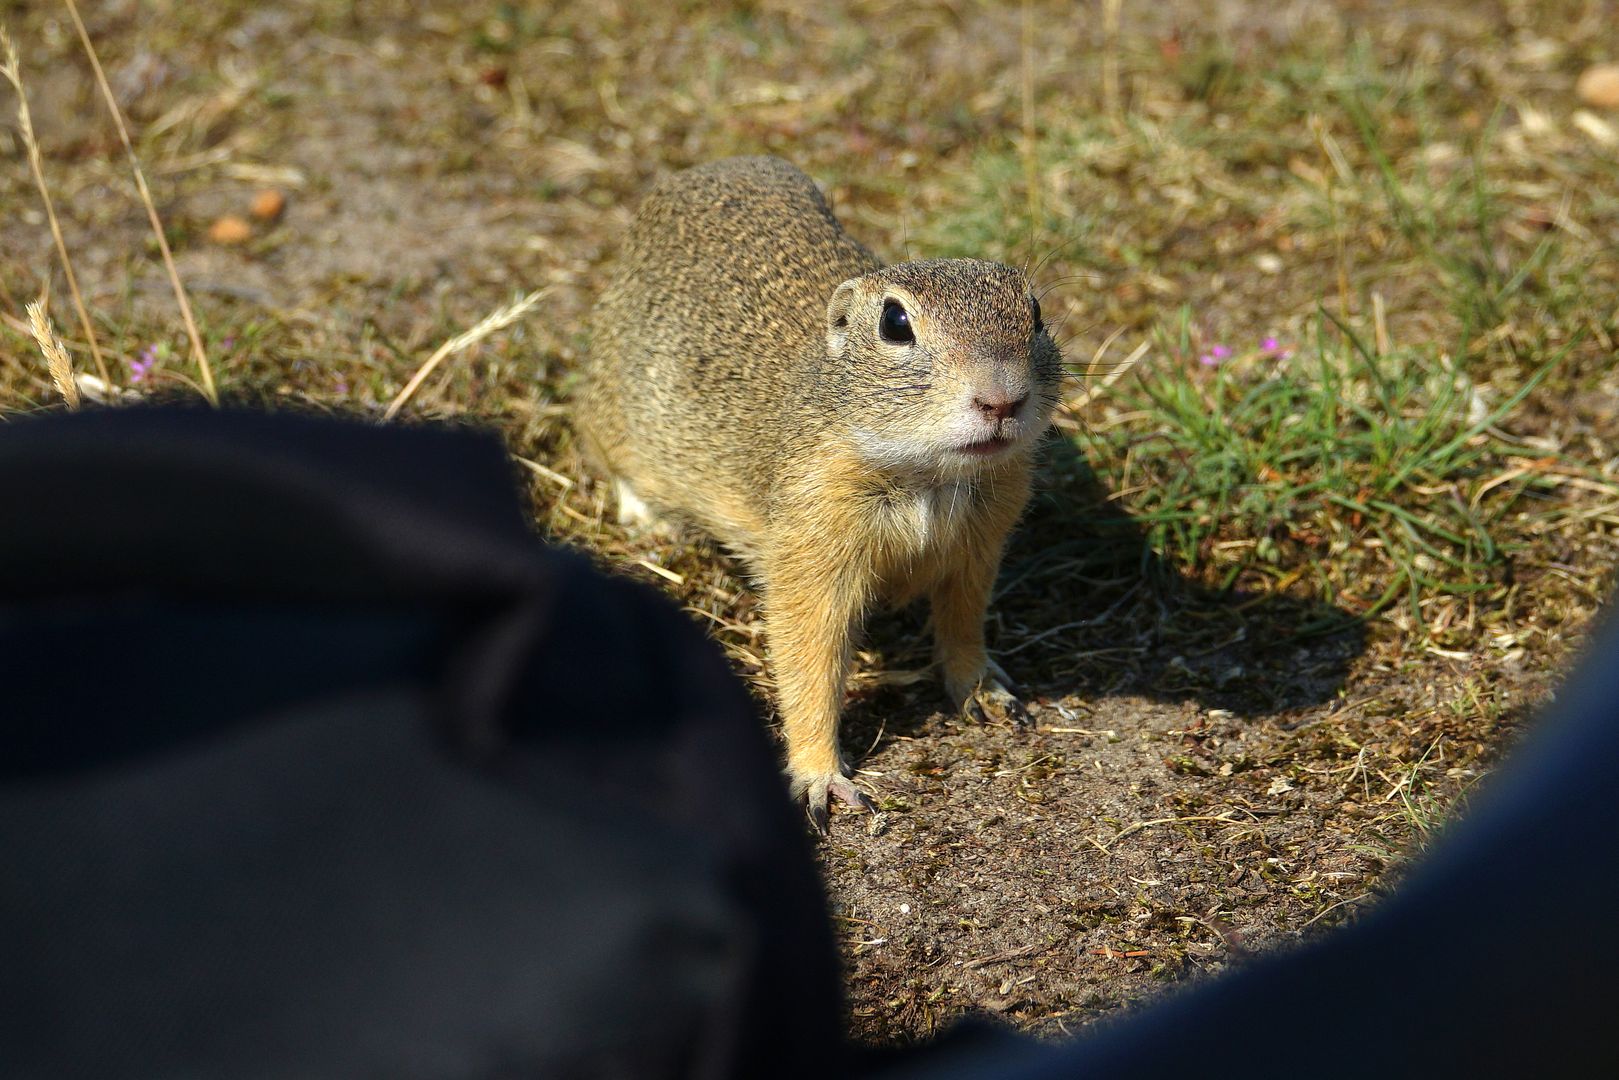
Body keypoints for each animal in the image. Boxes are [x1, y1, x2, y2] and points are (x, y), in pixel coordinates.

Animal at [579, 156, 1062, 835]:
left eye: (1036, 312)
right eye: (895, 322)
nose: (1002, 399)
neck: (928, 477)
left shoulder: (980, 545)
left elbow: (964, 623)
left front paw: (987, 694)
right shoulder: (812, 554)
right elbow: (810, 662)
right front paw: (820, 778)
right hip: (614, 416)